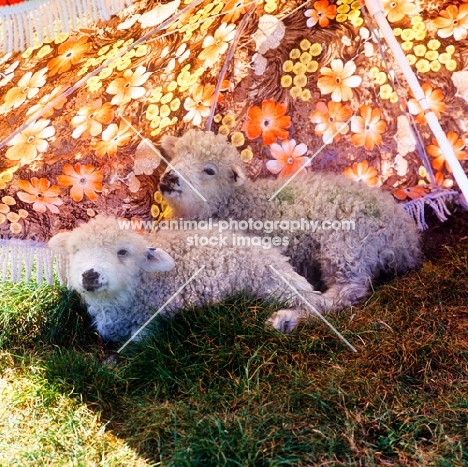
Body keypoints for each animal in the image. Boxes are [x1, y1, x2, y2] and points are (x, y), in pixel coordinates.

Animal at [48, 217, 322, 344]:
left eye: (122, 252)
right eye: (75, 250)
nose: (90, 275)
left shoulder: (153, 322)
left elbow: (138, 341)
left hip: (276, 286)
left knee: (313, 308)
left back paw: (283, 320)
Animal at [159, 129, 422, 332]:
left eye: (209, 170)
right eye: (177, 155)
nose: (168, 179)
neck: (237, 202)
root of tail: (406, 237)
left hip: (347, 245)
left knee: (347, 291)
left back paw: (287, 318)